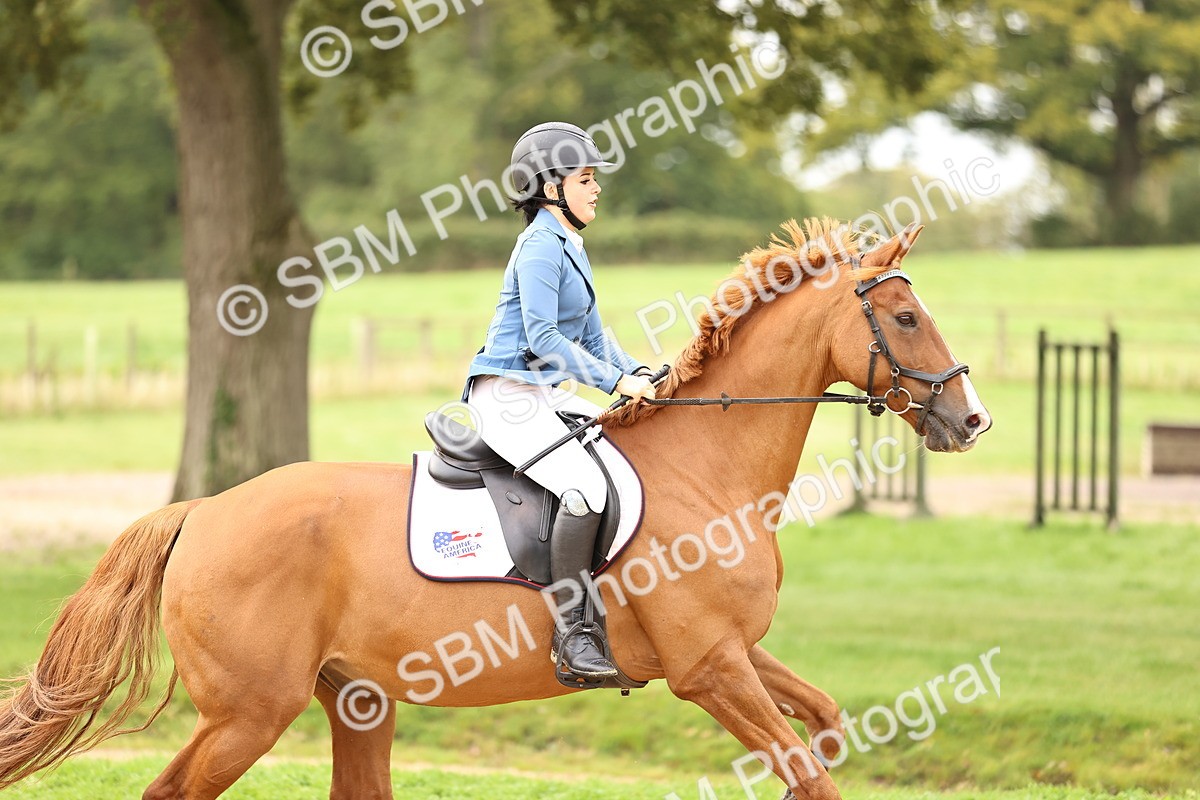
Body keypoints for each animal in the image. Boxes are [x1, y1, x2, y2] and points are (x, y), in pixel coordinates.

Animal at [0, 219, 991, 799]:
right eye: (906, 319)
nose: (971, 420)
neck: (709, 471)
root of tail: (201, 510)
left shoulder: (735, 654)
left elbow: (822, 725)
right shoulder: (710, 669)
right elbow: (811, 772)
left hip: (356, 696)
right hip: (248, 713)